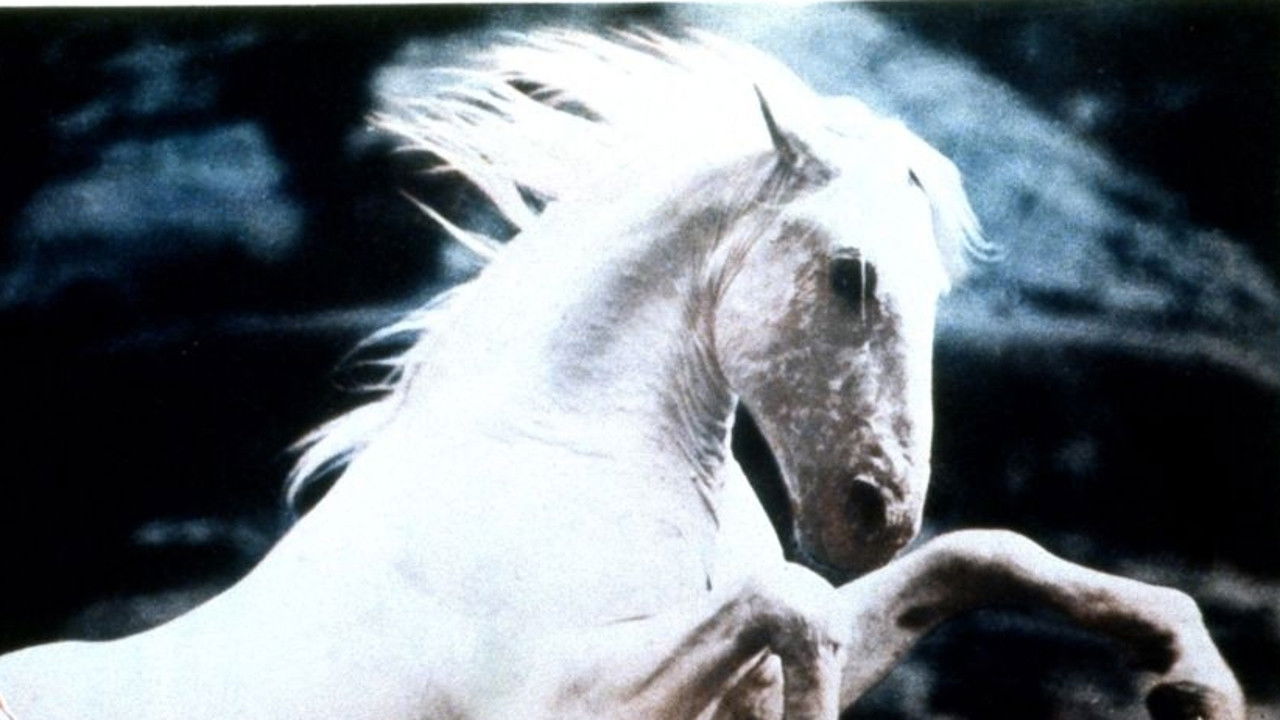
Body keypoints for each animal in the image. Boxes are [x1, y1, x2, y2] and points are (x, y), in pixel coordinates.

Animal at [0, 28, 1244, 720]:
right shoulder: (554, 699)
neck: (569, 458)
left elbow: (979, 556)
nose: (876, 516)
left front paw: (1191, 683)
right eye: (848, 273)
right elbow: (794, 604)